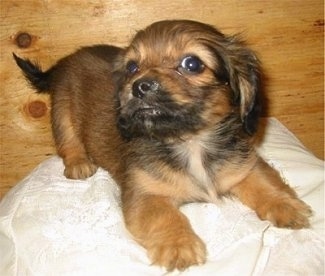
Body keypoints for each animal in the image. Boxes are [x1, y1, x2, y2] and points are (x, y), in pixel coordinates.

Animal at [13, 20, 312, 272]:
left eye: (192, 64)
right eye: (132, 67)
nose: (140, 86)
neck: (189, 142)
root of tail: (66, 60)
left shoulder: (243, 166)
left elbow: (266, 184)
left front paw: (287, 207)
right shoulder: (146, 194)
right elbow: (166, 216)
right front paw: (179, 245)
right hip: (62, 112)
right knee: (68, 143)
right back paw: (78, 163)